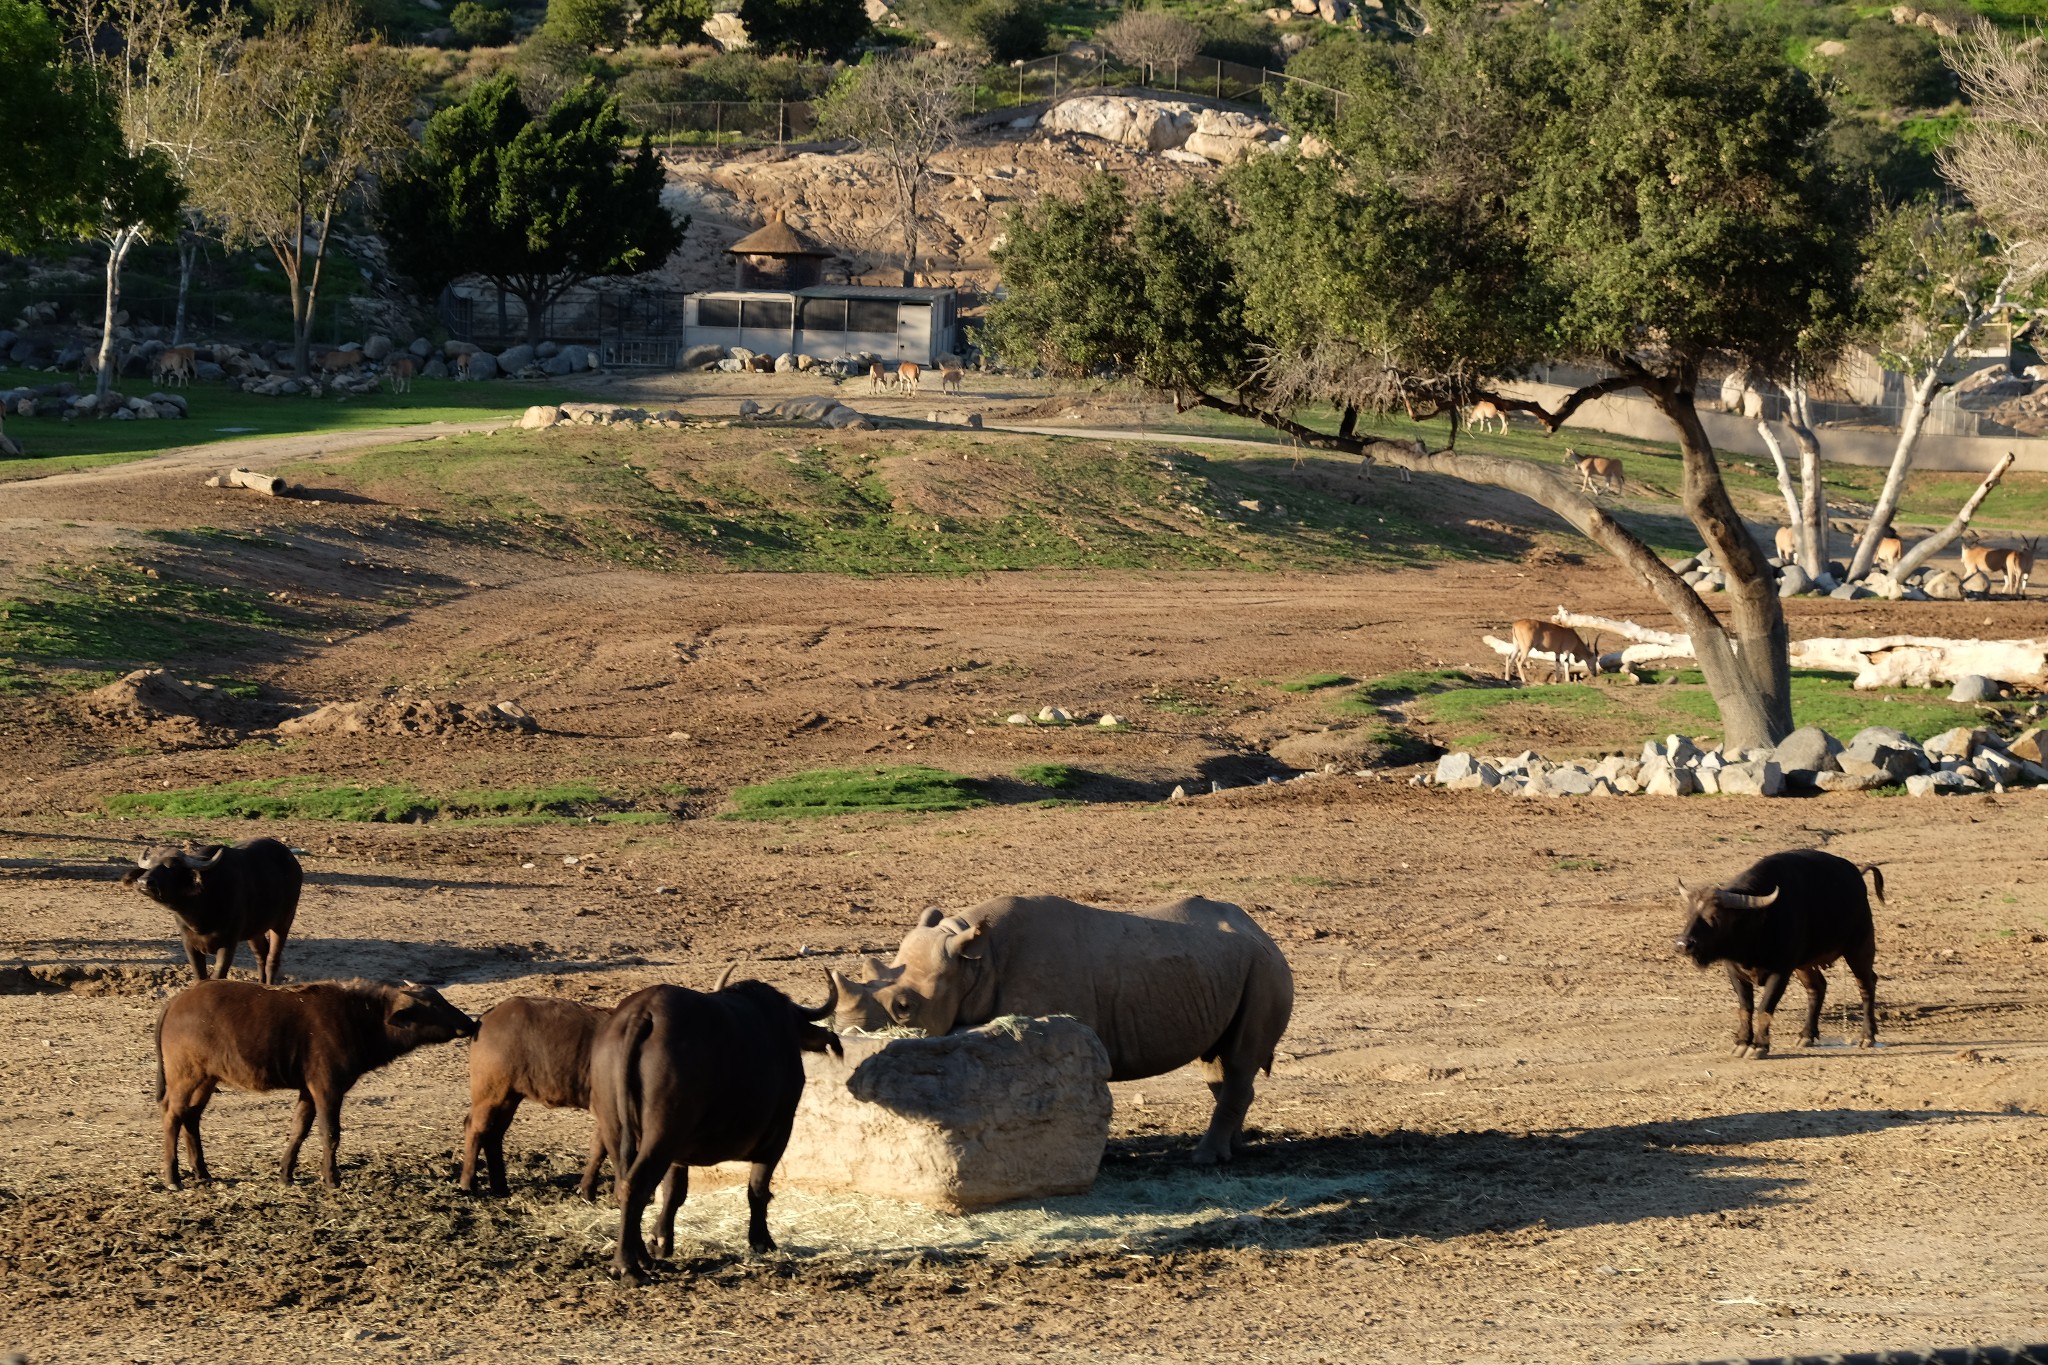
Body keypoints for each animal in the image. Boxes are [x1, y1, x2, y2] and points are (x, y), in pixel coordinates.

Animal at [157, 982, 477, 1186]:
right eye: (434, 1005)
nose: (470, 1023)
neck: (359, 1020)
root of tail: (174, 1003)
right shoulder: (327, 1088)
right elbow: (330, 1133)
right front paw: (331, 1179)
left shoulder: (307, 1091)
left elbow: (299, 1130)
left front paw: (286, 1175)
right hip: (186, 1076)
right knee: (173, 1115)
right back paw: (173, 1178)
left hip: (206, 1079)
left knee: (191, 1118)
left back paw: (203, 1173)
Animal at [466, 994, 614, 1195]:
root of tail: (488, 1016)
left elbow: (600, 1146)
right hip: (490, 1094)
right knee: (475, 1128)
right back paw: (468, 1184)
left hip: (509, 1097)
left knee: (493, 1134)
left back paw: (500, 1187)